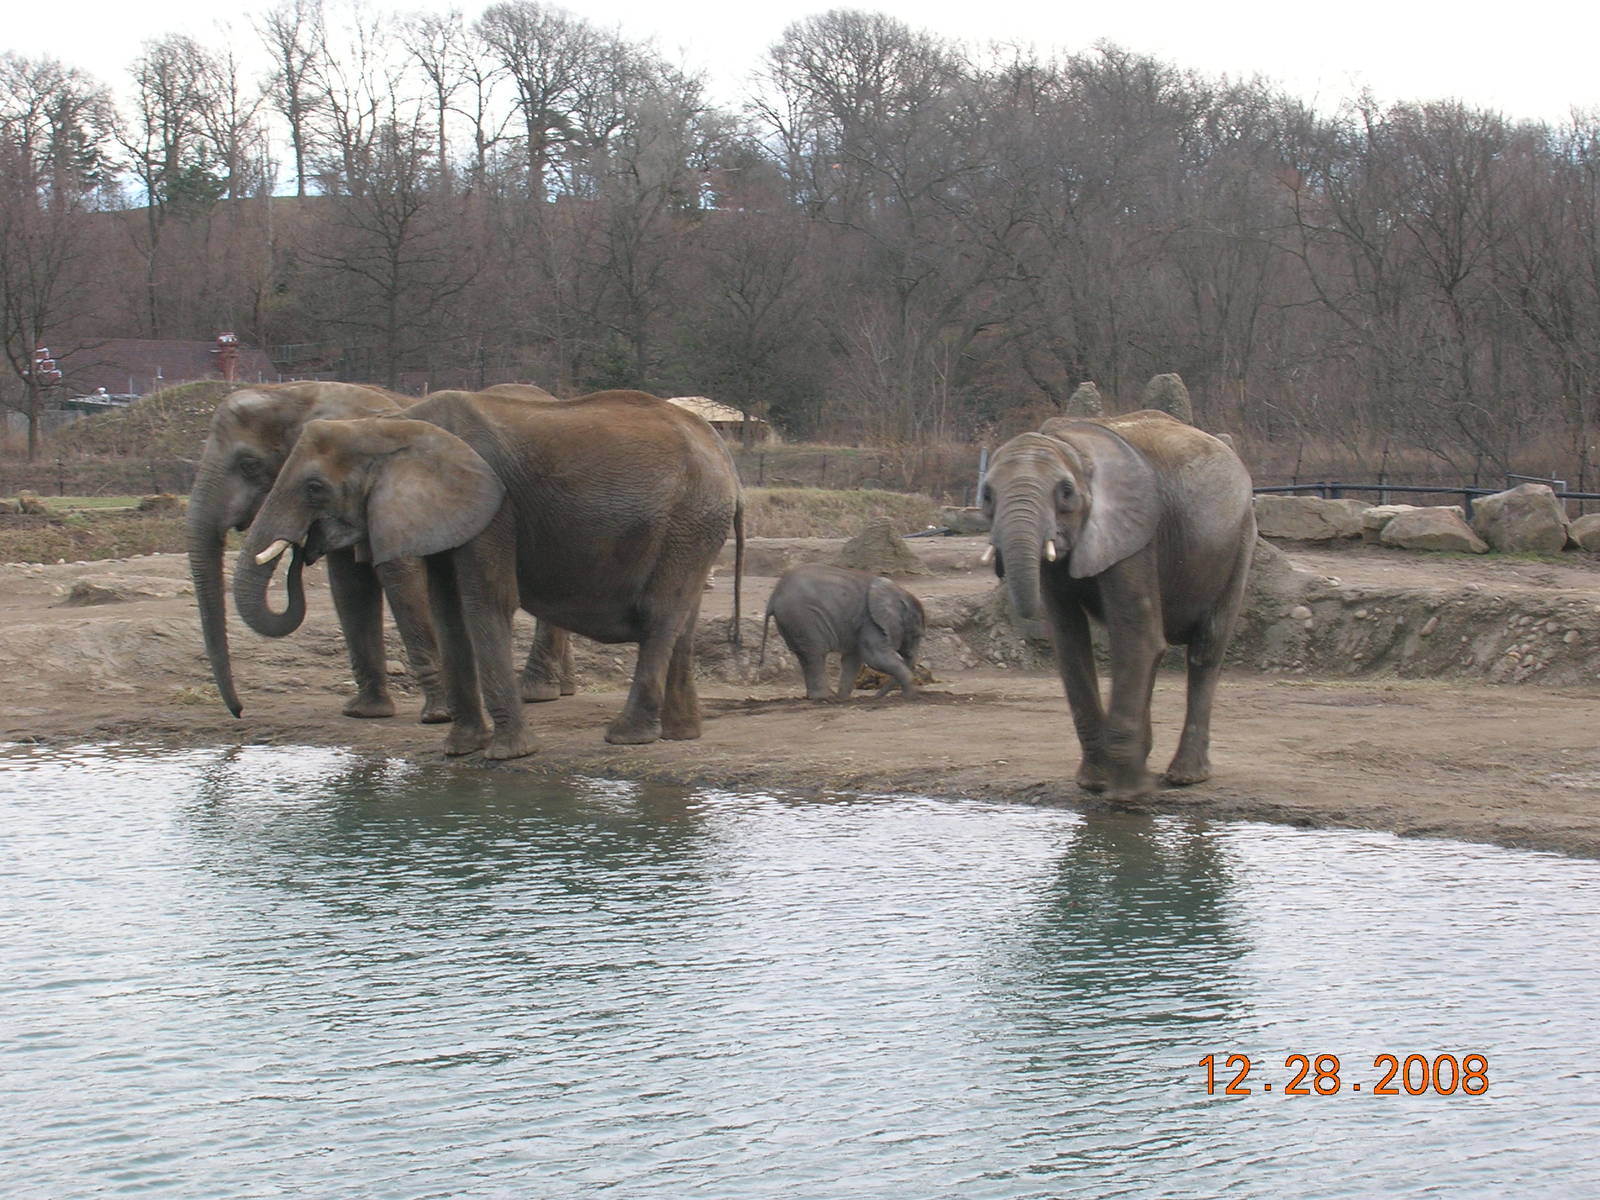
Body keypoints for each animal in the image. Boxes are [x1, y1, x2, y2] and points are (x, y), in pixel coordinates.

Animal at [233, 388, 745, 759]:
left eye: (314, 488)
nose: (305, 551)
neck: (391, 423)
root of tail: (725, 457)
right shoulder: (447, 514)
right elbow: (449, 610)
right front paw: (460, 750)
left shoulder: (494, 510)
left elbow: (486, 603)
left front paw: (507, 755)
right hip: (694, 527)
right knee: (682, 618)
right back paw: (679, 735)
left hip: (689, 518)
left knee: (660, 617)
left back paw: (626, 737)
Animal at [759, 564, 925, 700]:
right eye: (917, 635)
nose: (875, 697)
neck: (899, 592)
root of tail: (774, 596)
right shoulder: (871, 621)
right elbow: (875, 657)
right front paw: (909, 697)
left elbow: (853, 659)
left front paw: (843, 699)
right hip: (802, 617)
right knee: (815, 655)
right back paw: (824, 697)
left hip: (793, 621)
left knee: (805, 656)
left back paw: (825, 697)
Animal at [982, 409, 1254, 800]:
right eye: (987, 495)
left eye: (1066, 492)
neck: (1073, 447)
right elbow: (1069, 639)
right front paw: (1094, 783)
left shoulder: (1136, 535)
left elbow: (1137, 634)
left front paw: (1128, 796)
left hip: (1240, 540)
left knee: (1205, 650)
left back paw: (1185, 777)